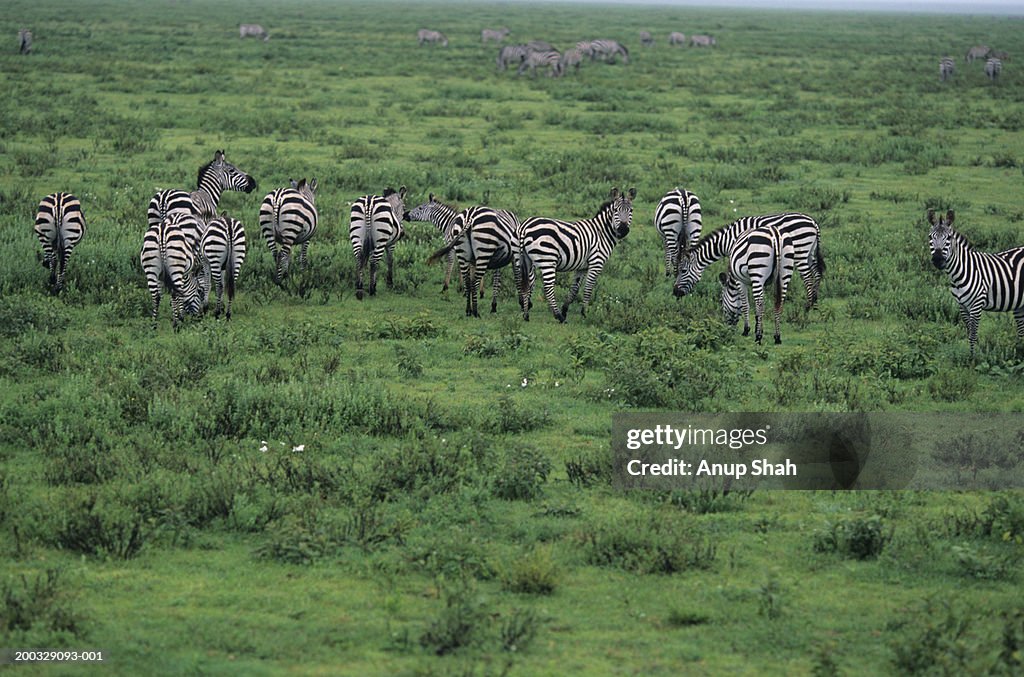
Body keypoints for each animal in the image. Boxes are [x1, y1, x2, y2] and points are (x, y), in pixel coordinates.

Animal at [516, 184, 634, 321]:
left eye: (631, 211)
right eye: (615, 210)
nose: (623, 229)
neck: (602, 232)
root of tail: (524, 226)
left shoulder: (582, 267)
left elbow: (574, 289)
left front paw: (565, 309)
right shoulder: (596, 263)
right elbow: (588, 288)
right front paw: (584, 313)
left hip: (526, 260)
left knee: (526, 285)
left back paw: (526, 315)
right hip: (547, 259)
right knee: (548, 288)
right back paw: (558, 316)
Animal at [671, 210, 823, 309]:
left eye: (683, 271)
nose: (675, 293)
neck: (728, 240)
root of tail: (813, 222)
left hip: (801, 251)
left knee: (808, 277)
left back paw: (808, 305)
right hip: (810, 252)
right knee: (816, 273)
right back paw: (815, 301)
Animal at [929, 206, 1024, 354]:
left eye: (949, 238)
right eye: (930, 237)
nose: (938, 260)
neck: (959, 274)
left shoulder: (977, 305)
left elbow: (973, 334)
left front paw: (973, 357)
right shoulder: (962, 306)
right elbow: (969, 331)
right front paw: (974, 353)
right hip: (1020, 305)